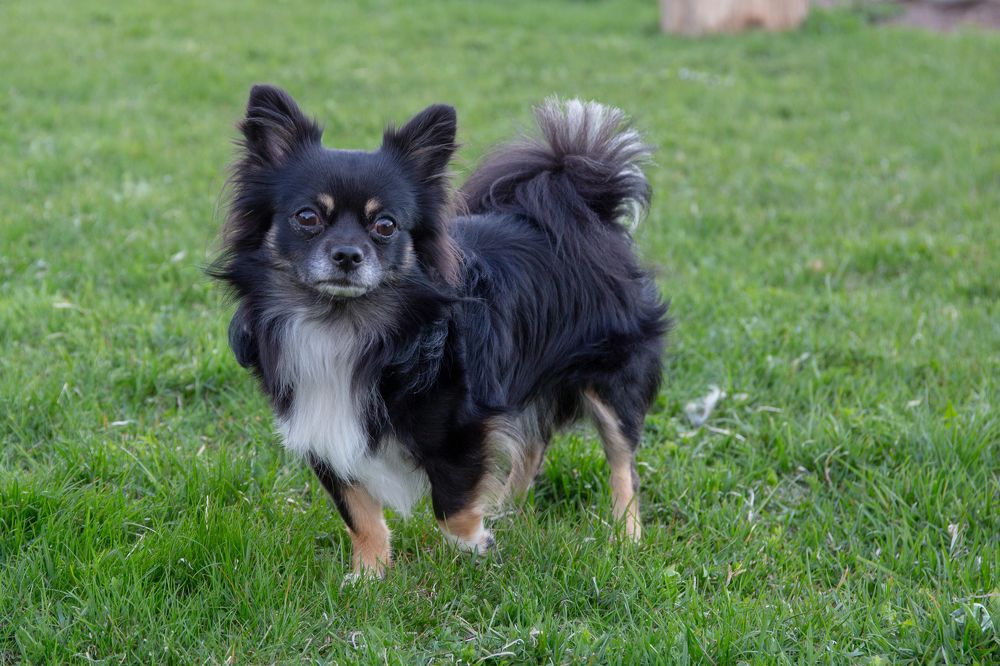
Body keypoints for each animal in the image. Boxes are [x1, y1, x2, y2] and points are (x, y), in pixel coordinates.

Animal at [211, 85, 669, 578]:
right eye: (307, 217)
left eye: (385, 225)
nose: (348, 255)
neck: (346, 324)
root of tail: (586, 210)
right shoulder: (324, 427)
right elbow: (359, 513)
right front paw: (369, 575)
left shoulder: (462, 426)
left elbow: (450, 504)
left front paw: (474, 543)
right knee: (533, 445)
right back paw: (509, 509)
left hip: (612, 380)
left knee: (622, 462)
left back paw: (625, 534)